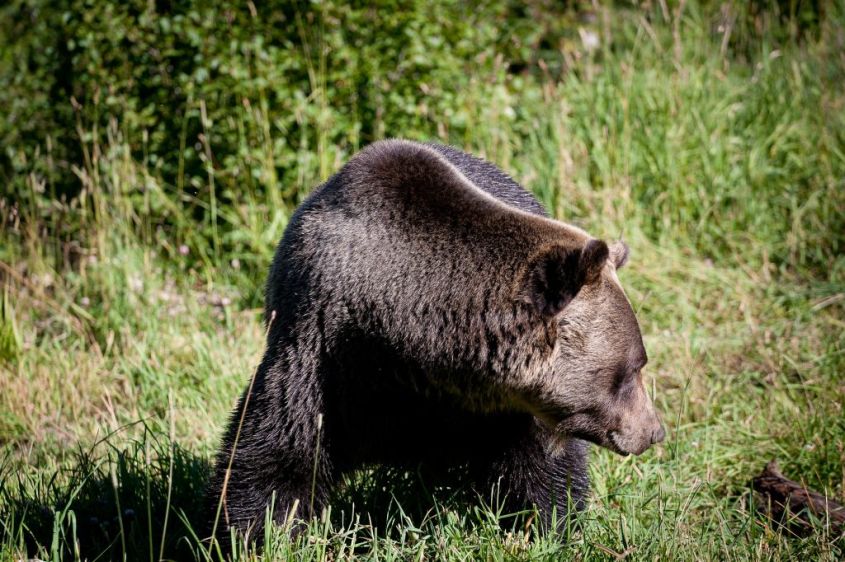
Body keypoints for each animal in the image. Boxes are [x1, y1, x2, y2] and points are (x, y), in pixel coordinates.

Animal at [207, 139, 665, 545]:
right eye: (632, 369)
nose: (654, 431)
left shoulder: (509, 408)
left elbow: (543, 468)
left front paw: (550, 526)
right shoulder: (324, 360)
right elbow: (275, 458)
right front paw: (258, 535)